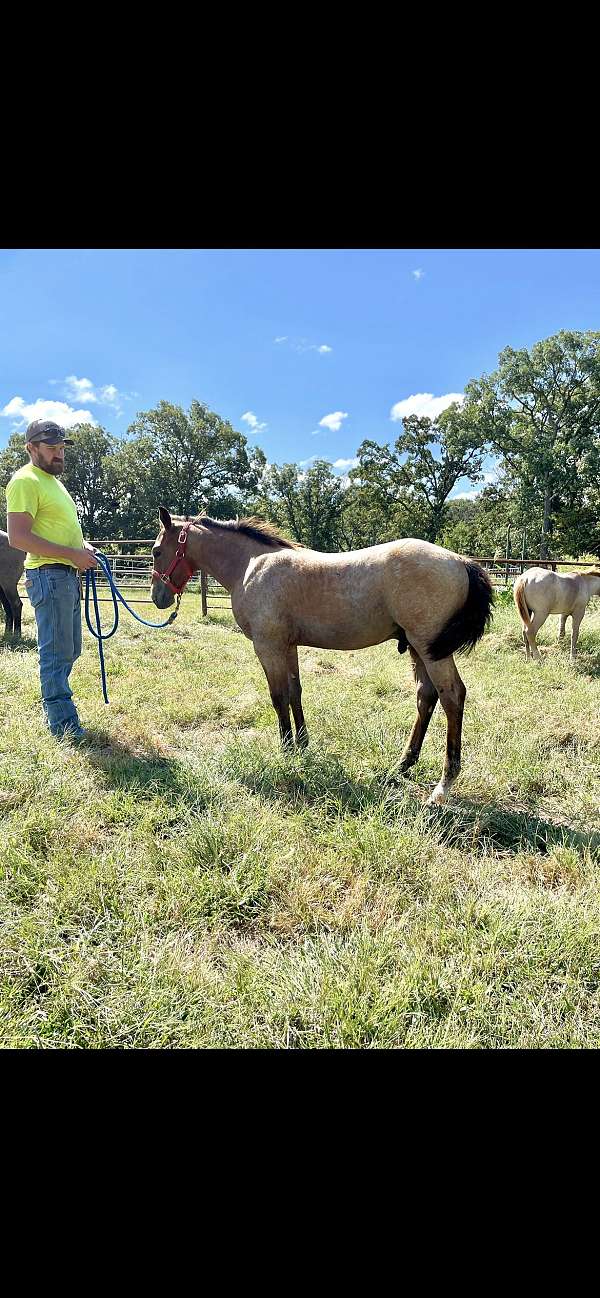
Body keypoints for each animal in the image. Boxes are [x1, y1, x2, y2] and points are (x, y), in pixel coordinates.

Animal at [150, 511, 490, 804]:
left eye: (155, 551)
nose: (157, 598)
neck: (249, 565)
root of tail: (461, 561)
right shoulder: (287, 646)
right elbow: (294, 692)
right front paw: (301, 747)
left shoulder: (268, 646)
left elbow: (278, 697)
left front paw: (286, 750)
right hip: (419, 650)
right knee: (426, 696)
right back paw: (400, 767)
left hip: (431, 649)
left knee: (452, 696)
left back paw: (442, 786)